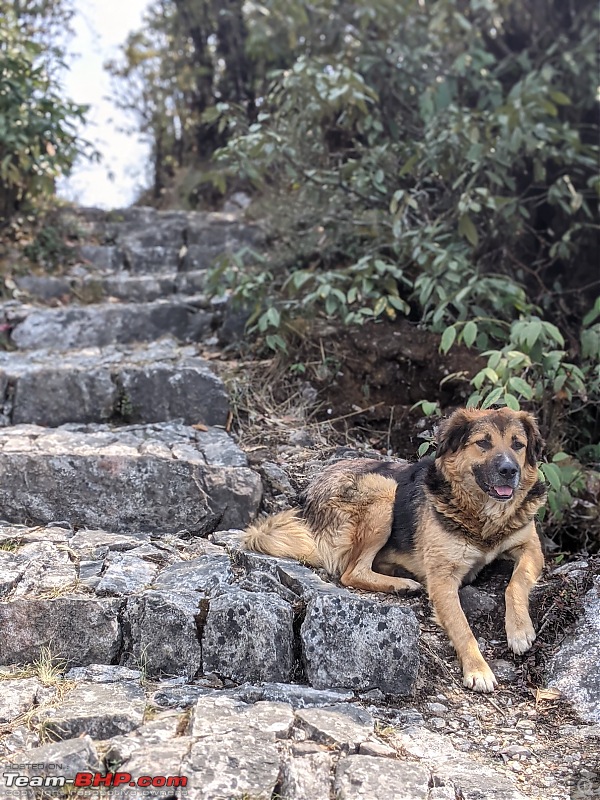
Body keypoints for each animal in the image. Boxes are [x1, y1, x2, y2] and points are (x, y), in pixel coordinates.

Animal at [244, 406, 548, 692]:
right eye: (483, 443)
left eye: (518, 444)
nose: (509, 471)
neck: (484, 517)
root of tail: (307, 495)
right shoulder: (442, 578)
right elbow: (463, 628)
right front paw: (478, 669)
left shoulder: (530, 546)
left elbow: (516, 583)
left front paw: (519, 629)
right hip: (383, 488)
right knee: (351, 572)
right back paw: (401, 583)